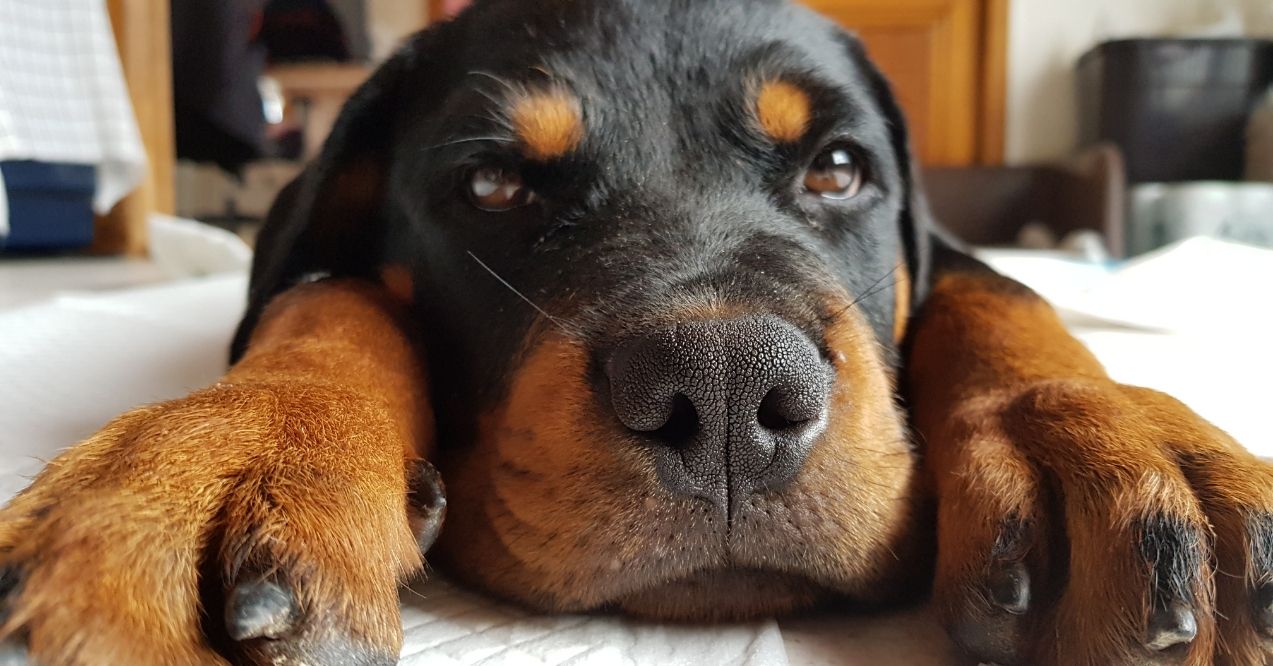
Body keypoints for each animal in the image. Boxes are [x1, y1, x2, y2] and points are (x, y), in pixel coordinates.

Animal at [2, 1, 1273, 666]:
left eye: (838, 168)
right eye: (493, 188)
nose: (724, 390)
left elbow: (1003, 295)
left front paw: (1107, 436)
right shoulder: (328, 277)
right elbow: (328, 298)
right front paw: (227, 447)